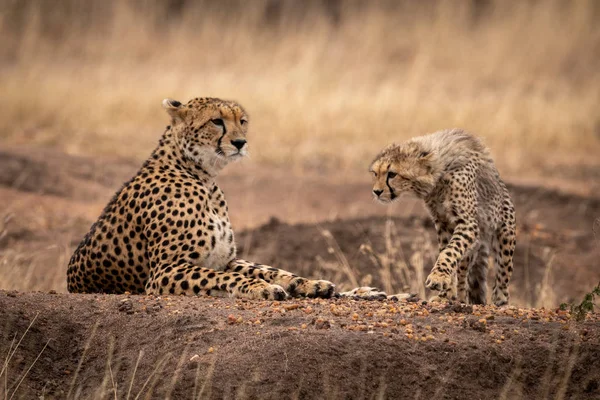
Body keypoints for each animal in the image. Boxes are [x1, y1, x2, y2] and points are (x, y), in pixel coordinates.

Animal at [69, 96, 338, 300]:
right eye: (217, 121)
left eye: (242, 121)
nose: (240, 142)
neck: (203, 177)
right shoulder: (164, 272)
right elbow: (225, 277)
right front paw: (261, 288)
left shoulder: (224, 259)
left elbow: (266, 269)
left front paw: (311, 283)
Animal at [370, 130, 516, 304]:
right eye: (376, 173)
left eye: (392, 174)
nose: (376, 192)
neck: (439, 174)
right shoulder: (443, 223)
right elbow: (445, 251)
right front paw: (445, 293)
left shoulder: (468, 224)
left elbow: (450, 251)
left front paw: (438, 278)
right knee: (464, 271)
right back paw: (460, 298)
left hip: (504, 232)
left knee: (504, 267)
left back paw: (500, 297)